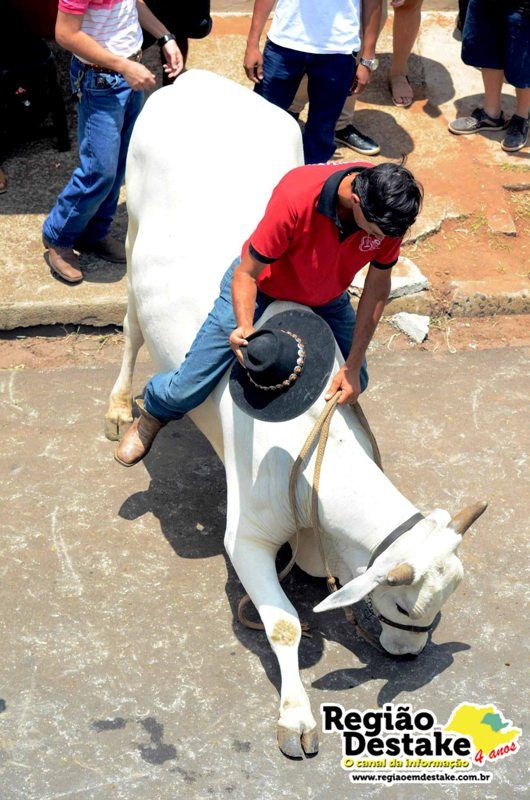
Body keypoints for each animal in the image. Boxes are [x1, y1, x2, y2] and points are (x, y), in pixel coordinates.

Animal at [106, 70, 487, 759]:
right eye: (406, 610)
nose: (408, 655)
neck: (319, 452)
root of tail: (196, 78)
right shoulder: (247, 535)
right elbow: (283, 624)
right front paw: (296, 717)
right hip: (131, 238)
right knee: (130, 331)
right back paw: (127, 415)